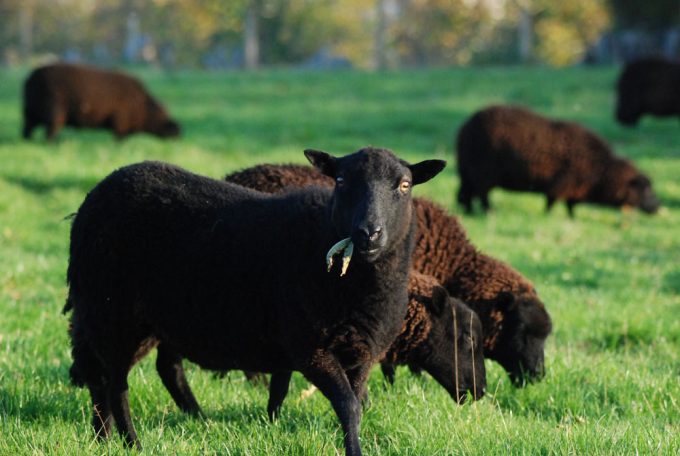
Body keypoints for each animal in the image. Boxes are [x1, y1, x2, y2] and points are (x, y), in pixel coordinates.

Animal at [22, 62, 179, 140]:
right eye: (162, 116)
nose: (178, 132)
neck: (142, 104)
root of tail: (30, 78)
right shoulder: (120, 124)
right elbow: (119, 140)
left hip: (30, 114)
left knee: (27, 132)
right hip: (54, 114)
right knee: (49, 133)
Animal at [63, 147, 446, 456]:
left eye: (404, 185)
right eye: (339, 180)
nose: (369, 233)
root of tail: (97, 192)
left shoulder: (362, 352)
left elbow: (354, 405)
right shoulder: (310, 347)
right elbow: (347, 405)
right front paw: (354, 451)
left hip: (147, 317)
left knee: (127, 375)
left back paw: (116, 436)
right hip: (111, 312)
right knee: (114, 382)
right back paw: (131, 442)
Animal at [456, 105, 660, 217]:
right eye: (646, 190)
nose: (658, 208)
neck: (600, 170)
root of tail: (465, 127)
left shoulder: (575, 187)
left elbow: (571, 205)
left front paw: (572, 218)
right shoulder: (561, 184)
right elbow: (552, 202)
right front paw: (548, 216)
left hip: (468, 170)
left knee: (465, 194)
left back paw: (468, 211)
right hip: (482, 172)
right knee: (482, 195)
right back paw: (489, 212)